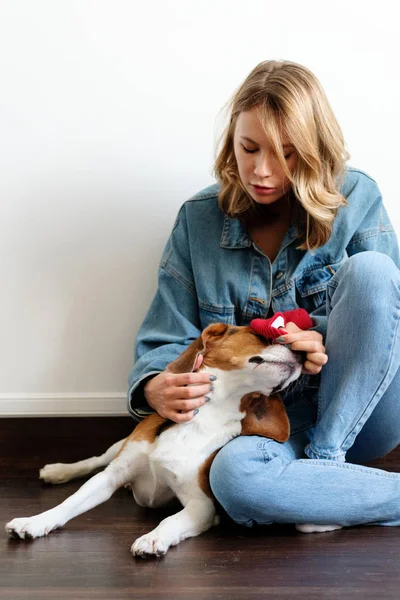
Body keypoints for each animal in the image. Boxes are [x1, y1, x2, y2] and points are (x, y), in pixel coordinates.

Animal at [5, 322, 306, 556]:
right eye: (261, 335)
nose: (303, 352)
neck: (204, 415)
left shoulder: (201, 505)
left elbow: (170, 521)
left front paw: (152, 538)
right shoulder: (111, 476)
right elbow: (69, 502)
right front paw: (35, 521)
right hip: (119, 448)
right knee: (95, 460)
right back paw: (57, 471)